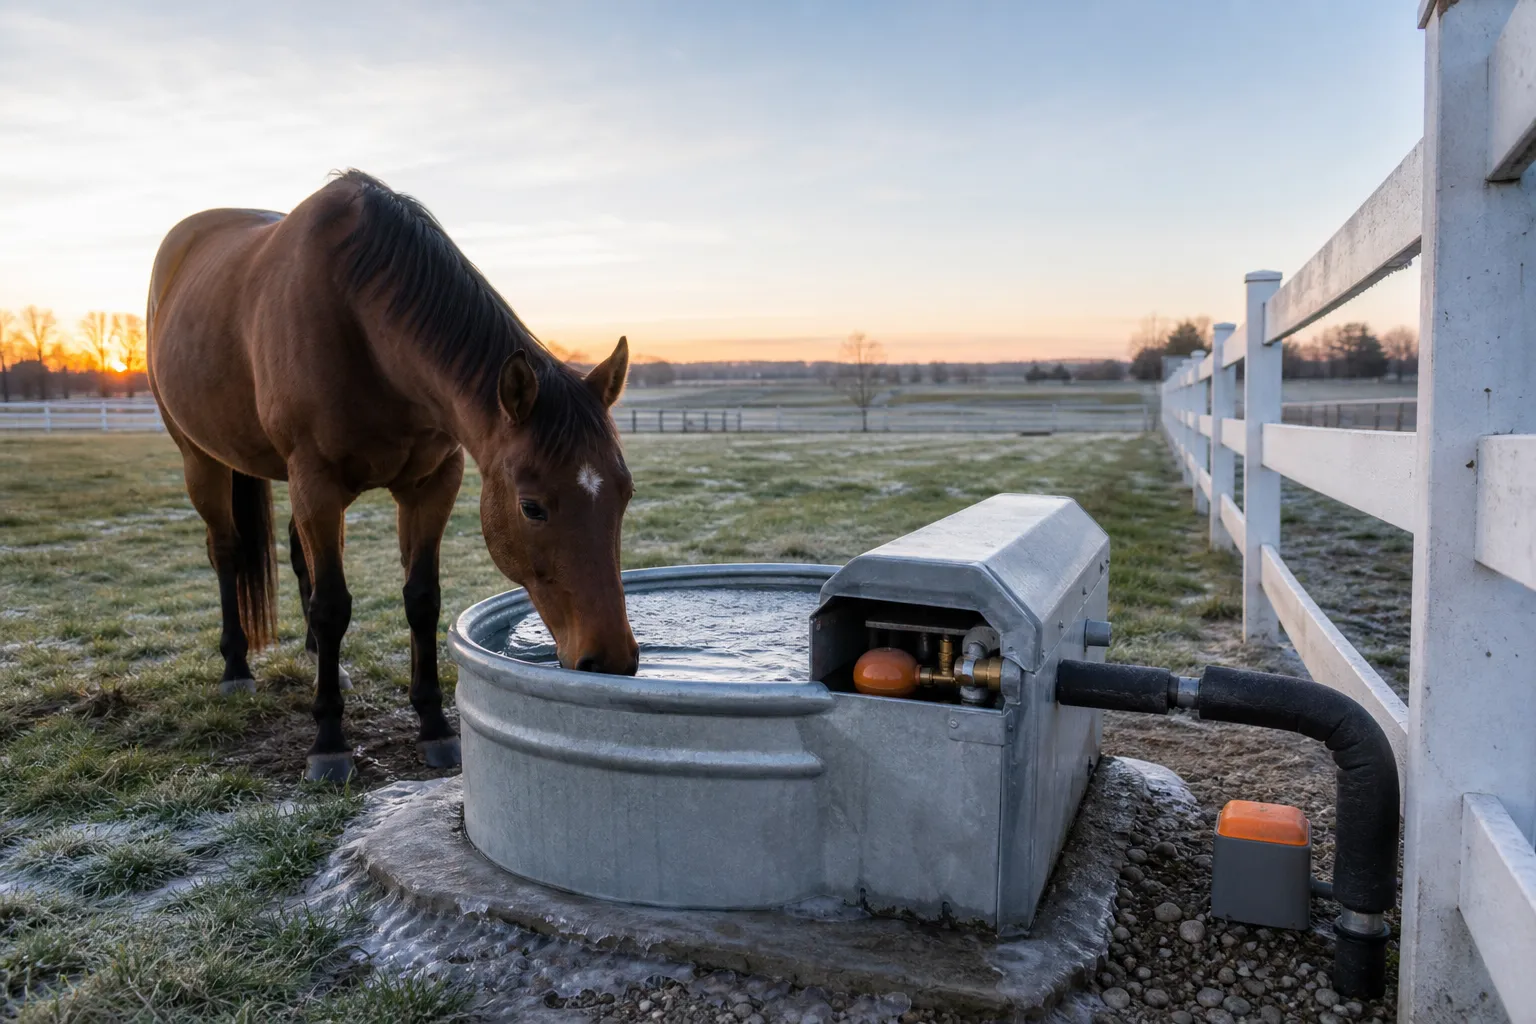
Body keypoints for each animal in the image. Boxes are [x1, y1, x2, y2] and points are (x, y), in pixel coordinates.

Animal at [146, 170, 638, 783]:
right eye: (532, 507)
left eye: (625, 494)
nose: (611, 660)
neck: (358, 320)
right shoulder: (317, 482)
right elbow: (333, 606)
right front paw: (328, 742)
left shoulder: (432, 484)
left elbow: (421, 599)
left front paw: (435, 727)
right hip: (203, 460)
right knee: (228, 553)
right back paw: (236, 668)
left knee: (298, 556)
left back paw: (318, 658)